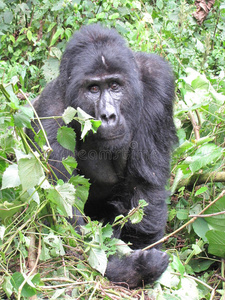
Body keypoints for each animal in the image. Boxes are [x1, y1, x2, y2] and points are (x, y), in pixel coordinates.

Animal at [26, 24, 178, 288]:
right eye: (93, 89)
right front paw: (136, 269)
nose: (108, 115)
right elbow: (71, 231)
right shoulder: (48, 117)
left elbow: (145, 187)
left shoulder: (158, 81)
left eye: (115, 86)